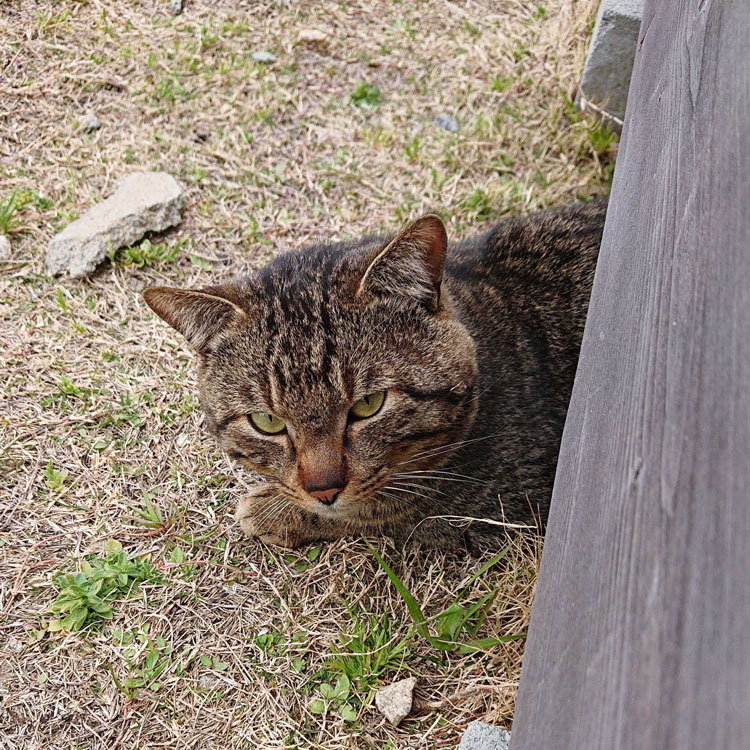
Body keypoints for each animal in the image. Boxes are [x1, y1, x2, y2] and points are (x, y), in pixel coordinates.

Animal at [144, 203, 608, 556]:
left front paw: (273, 512)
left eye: (369, 405)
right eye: (267, 422)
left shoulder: (509, 506)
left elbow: (387, 512)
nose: (323, 489)